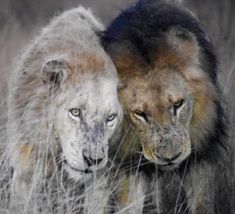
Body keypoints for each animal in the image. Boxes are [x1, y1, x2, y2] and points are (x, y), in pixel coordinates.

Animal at [103, 0, 231, 213]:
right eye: (140, 114)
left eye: (178, 104)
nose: (170, 157)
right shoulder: (129, 165)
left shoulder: (200, 154)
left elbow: (202, 204)